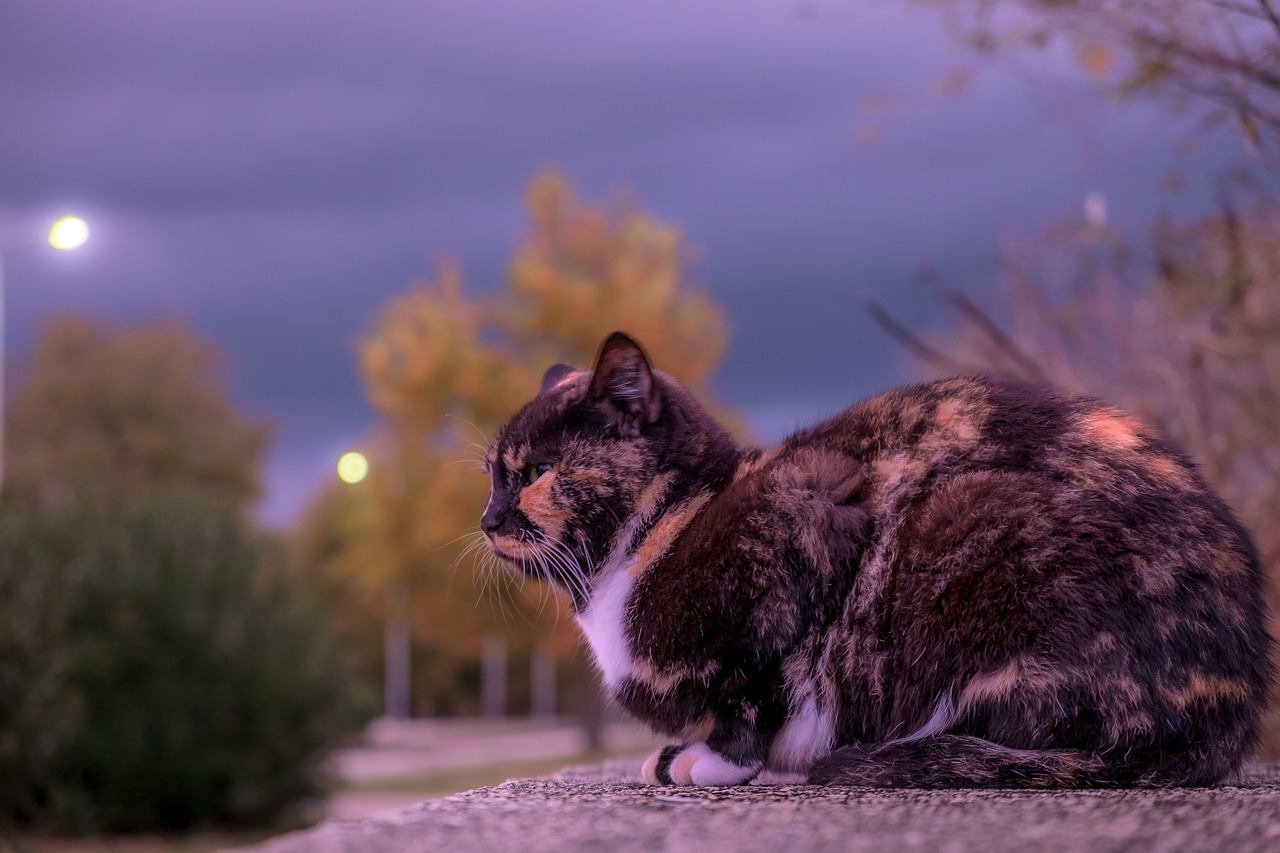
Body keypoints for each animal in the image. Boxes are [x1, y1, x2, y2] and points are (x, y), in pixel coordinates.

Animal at [478, 330, 1269, 783]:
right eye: (490, 472)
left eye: (536, 470)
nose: (485, 520)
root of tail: (1236, 707)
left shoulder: (810, 524)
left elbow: (754, 687)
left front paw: (716, 759)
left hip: (970, 523)